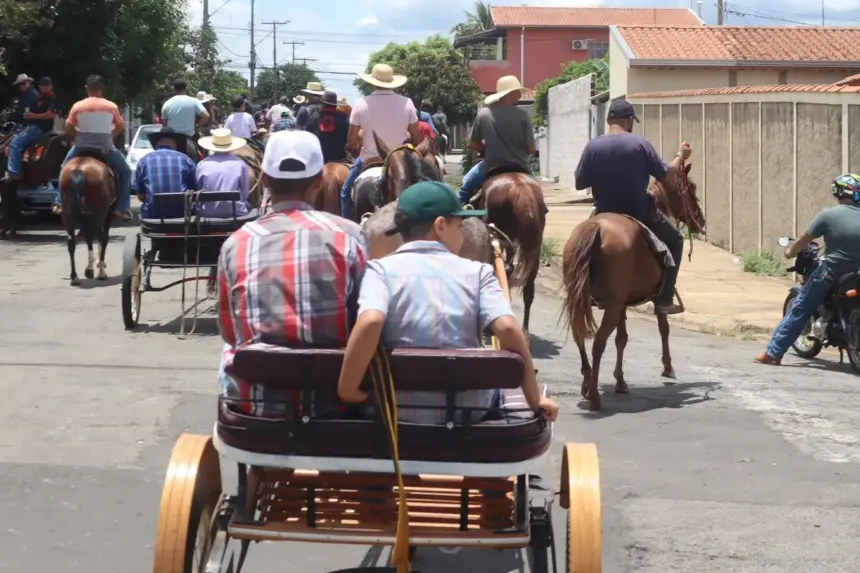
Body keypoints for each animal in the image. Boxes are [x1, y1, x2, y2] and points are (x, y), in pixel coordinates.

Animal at [59, 150, 116, 286]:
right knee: (100, 237)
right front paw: (98, 265)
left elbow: (89, 238)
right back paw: (100, 273)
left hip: (68, 215)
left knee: (71, 241)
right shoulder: (108, 214)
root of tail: (79, 169)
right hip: (99, 213)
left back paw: (75, 277)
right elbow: (102, 239)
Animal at [556, 163, 704, 408]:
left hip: (583, 299)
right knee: (598, 342)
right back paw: (594, 397)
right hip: (613, 304)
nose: (700, 221)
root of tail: (595, 228)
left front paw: (620, 381)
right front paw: (667, 367)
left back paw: (587, 382)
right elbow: (663, 327)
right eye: (691, 187)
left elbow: (621, 339)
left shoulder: (623, 304)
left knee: (580, 335)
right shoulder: (650, 298)